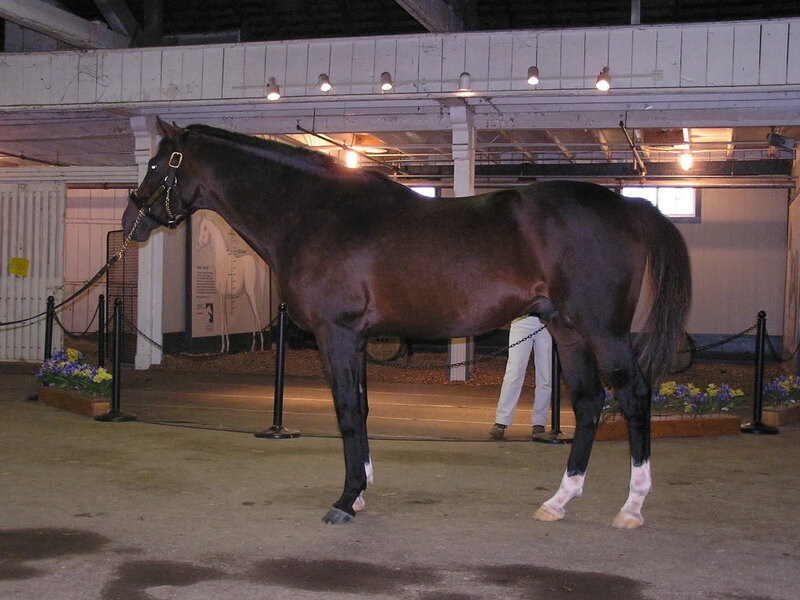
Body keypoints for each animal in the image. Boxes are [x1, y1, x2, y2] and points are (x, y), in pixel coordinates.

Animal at [195, 215, 267, 352]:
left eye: (205, 228)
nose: (198, 244)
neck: (221, 260)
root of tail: (256, 262)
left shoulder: (222, 296)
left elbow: (224, 319)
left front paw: (224, 348)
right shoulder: (222, 297)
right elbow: (225, 320)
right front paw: (226, 347)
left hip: (251, 292)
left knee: (257, 315)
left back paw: (261, 347)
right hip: (248, 295)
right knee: (253, 316)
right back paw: (252, 347)